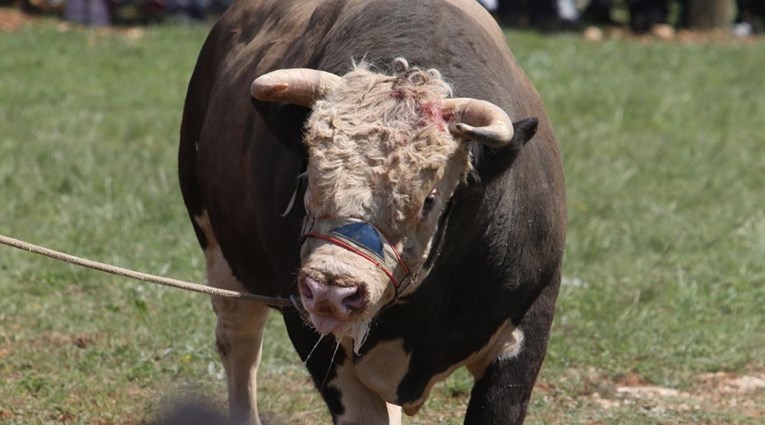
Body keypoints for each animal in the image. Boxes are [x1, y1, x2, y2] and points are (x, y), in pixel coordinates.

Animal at [176, 0, 564, 422]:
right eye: (308, 176)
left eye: (429, 199)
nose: (331, 289)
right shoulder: (309, 327)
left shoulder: (527, 323)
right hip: (220, 254)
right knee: (239, 342)